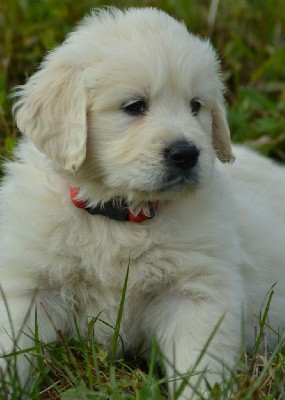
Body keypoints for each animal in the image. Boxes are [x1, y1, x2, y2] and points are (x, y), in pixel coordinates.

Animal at [0, 7, 284, 400]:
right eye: (134, 106)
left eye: (196, 106)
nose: (186, 154)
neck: (118, 216)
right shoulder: (29, 284)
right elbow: (14, 345)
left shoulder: (197, 291)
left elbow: (200, 362)